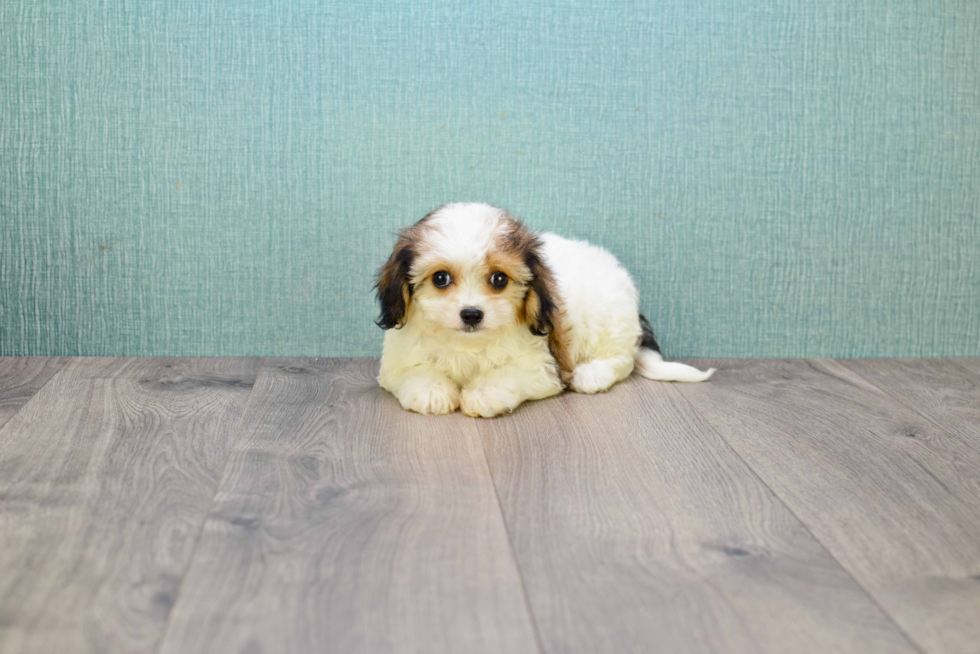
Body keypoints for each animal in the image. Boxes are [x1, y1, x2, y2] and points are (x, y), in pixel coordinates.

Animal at [376, 201, 712, 420]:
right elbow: (414, 370)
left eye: (499, 279)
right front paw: (431, 391)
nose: (471, 314)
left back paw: (592, 374)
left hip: (609, 318)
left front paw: (483, 394)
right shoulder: (398, 359)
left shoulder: (541, 364)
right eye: (440, 279)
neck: (467, 346)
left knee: (622, 359)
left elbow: (508, 374)